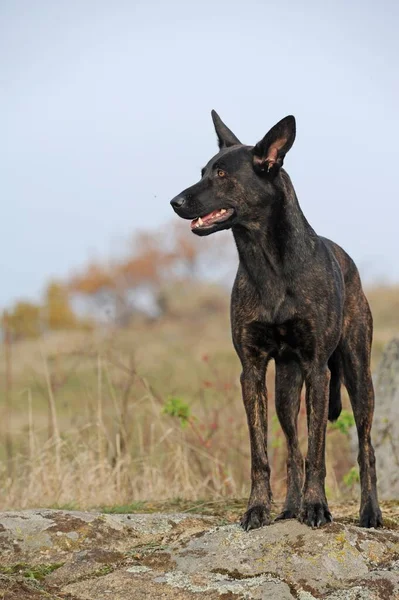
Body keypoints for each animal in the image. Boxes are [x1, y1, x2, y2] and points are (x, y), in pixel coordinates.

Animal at [170, 111, 382, 528]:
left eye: (221, 174)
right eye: (202, 171)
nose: (175, 201)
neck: (268, 263)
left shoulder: (318, 370)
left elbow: (317, 449)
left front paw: (317, 507)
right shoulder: (252, 371)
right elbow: (262, 453)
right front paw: (258, 508)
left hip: (357, 375)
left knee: (365, 448)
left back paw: (370, 511)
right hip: (286, 387)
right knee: (292, 448)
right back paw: (289, 507)